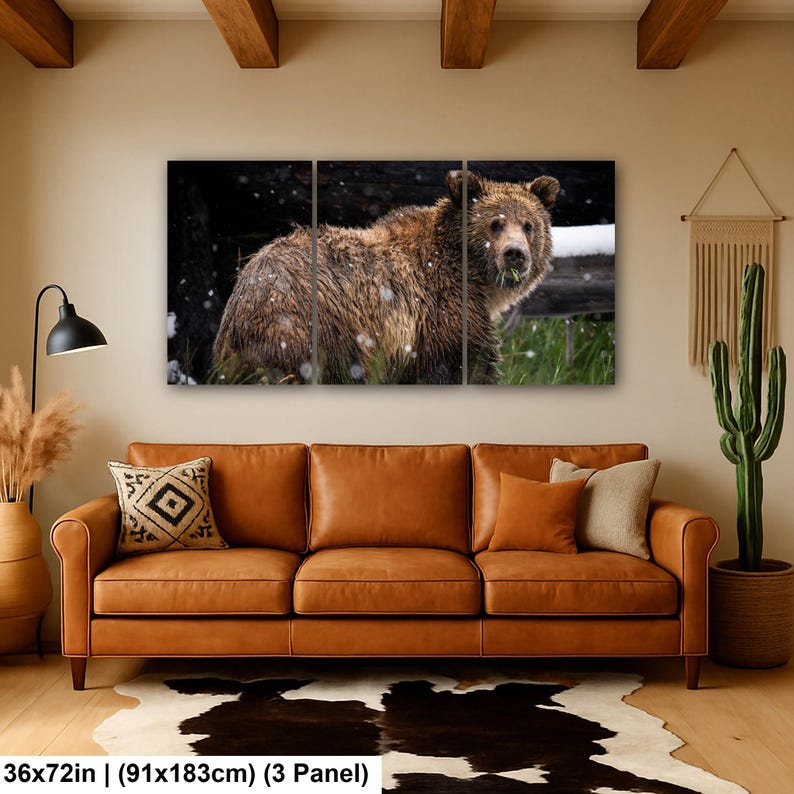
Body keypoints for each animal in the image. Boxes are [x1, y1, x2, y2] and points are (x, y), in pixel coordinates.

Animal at [212, 170, 559, 385]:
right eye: (495, 224)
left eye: (528, 225)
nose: (515, 254)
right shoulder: (440, 313)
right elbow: (467, 365)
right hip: (321, 327)